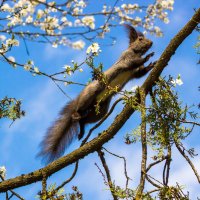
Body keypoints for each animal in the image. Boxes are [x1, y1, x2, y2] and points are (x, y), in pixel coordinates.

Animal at [38, 24, 155, 162]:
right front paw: (147, 57)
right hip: (90, 94)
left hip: (100, 110)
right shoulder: (126, 59)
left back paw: (82, 128)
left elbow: (140, 73)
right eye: (140, 39)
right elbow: (134, 62)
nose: (151, 43)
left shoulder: (134, 72)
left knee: (85, 120)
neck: (135, 52)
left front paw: (151, 64)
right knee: (77, 111)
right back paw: (76, 115)